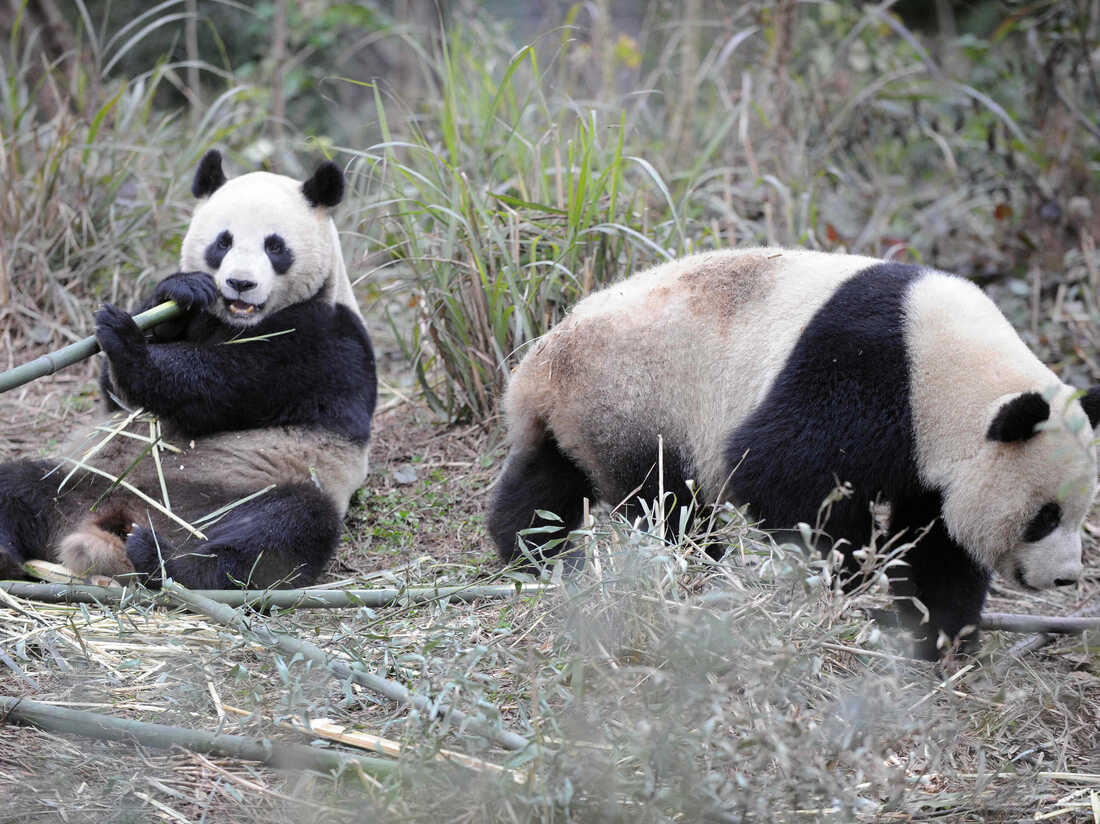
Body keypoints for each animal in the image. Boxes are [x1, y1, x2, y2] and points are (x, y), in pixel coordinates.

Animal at [0, 150, 378, 589]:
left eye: (274, 246)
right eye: (223, 241)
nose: (240, 283)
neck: (235, 322)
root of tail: (118, 516)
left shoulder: (327, 342)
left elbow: (221, 388)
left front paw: (127, 342)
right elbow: (115, 399)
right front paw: (179, 291)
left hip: (247, 492)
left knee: (277, 534)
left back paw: (162, 558)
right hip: (78, 476)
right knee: (18, 484)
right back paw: (7, 552)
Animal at [490, 247, 1100, 660]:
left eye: (1079, 512)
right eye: (1045, 516)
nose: (1067, 579)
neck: (949, 370)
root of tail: (537, 366)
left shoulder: (930, 457)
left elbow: (939, 541)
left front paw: (936, 632)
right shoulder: (864, 372)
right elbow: (782, 471)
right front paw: (846, 576)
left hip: (582, 414)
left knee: (545, 482)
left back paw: (533, 553)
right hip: (635, 396)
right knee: (667, 499)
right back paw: (696, 568)